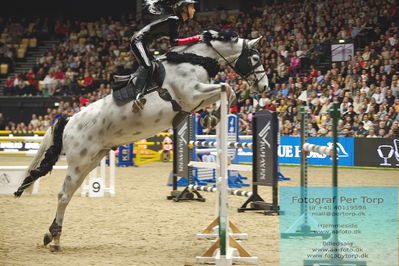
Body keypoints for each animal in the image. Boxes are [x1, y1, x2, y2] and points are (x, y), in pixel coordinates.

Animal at [14, 31, 268, 251]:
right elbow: (228, 88)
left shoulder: (196, 99)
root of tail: (68, 119)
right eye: (255, 58)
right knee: (63, 195)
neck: (194, 60)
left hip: (91, 162)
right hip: (78, 163)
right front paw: (213, 116)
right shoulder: (192, 94)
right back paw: (55, 238)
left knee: (69, 194)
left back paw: (51, 235)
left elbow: (226, 91)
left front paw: (211, 117)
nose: (264, 86)